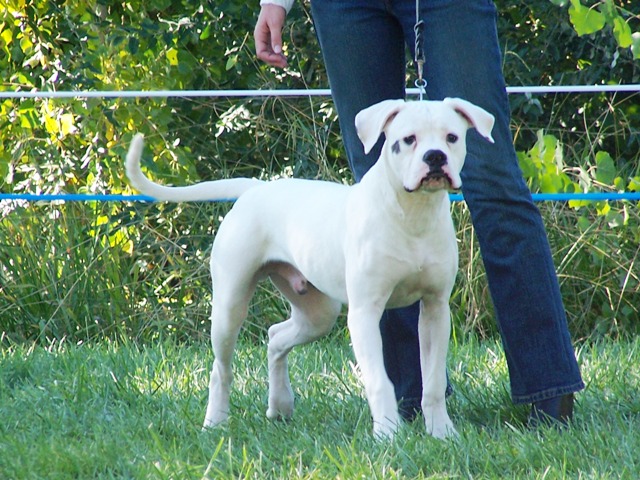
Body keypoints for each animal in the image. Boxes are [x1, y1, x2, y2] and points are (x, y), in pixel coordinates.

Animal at [125, 98, 495, 440]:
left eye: (452, 137)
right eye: (408, 140)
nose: (435, 157)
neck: (412, 215)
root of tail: (256, 188)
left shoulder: (435, 309)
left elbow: (432, 382)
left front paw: (442, 433)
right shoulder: (365, 313)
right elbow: (379, 381)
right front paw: (387, 435)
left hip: (318, 313)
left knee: (276, 338)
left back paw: (281, 406)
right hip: (230, 306)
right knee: (222, 368)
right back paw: (216, 421)